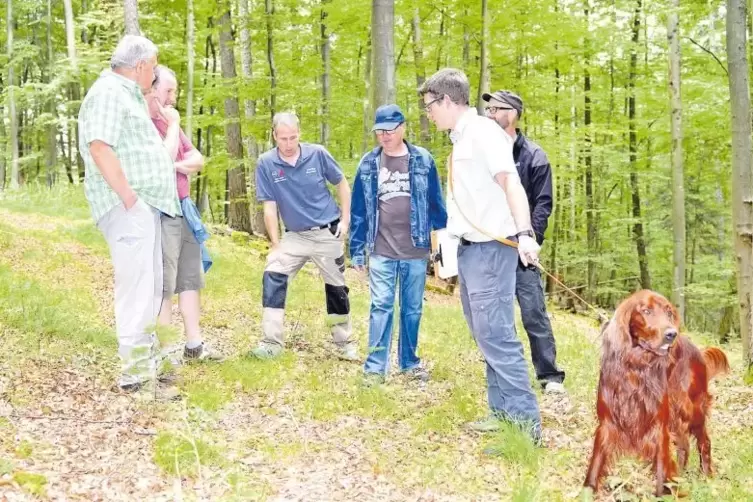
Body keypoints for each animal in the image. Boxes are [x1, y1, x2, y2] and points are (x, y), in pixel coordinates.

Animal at [580, 288, 728, 496]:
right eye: (646, 311)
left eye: (668, 312)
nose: (671, 334)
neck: (636, 367)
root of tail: (698, 351)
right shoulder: (607, 421)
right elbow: (596, 462)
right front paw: (587, 490)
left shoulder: (658, 424)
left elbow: (661, 465)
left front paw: (663, 494)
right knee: (684, 444)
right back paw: (680, 474)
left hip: (690, 408)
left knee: (704, 441)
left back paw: (706, 476)